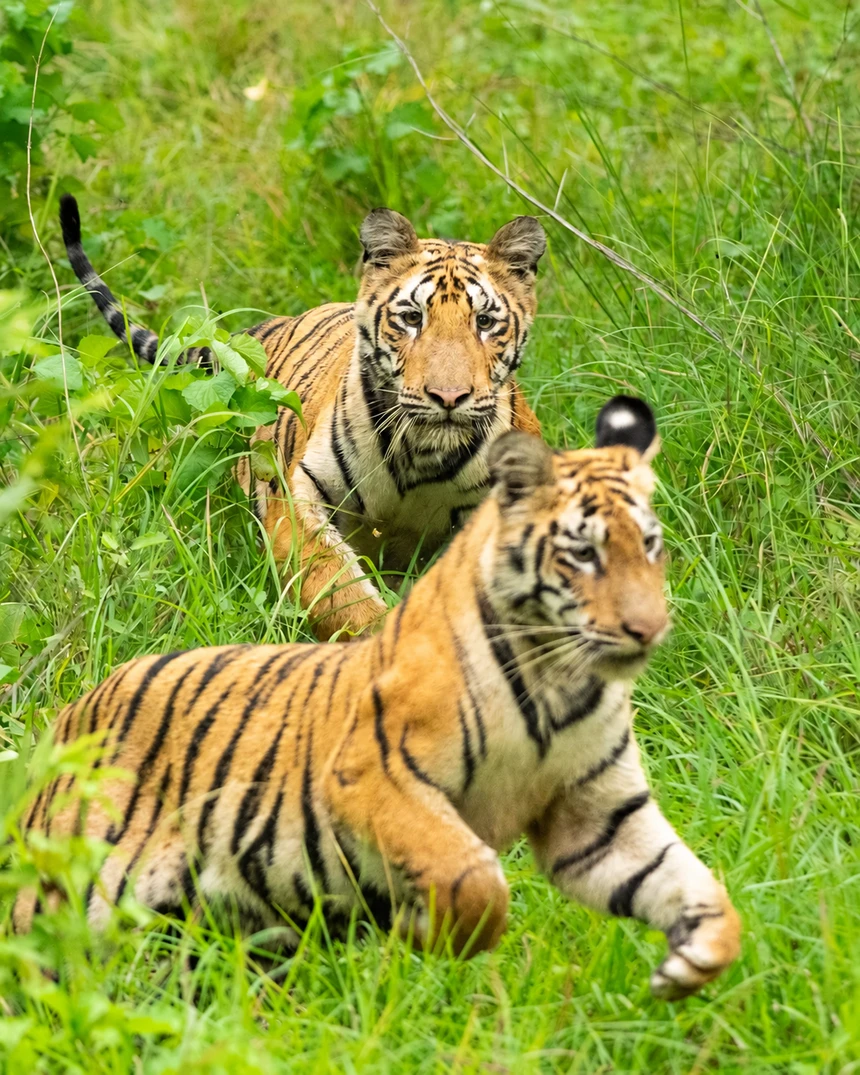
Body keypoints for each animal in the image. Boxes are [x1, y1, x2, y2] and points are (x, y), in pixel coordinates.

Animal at [15, 395, 741, 998]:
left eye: (650, 546)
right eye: (584, 554)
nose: (649, 627)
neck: (561, 681)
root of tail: (71, 715)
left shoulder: (595, 812)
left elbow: (692, 885)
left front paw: (693, 963)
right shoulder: (377, 778)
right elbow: (478, 883)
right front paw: (421, 930)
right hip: (62, 898)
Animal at [59, 195, 546, 639]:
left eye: (485, 322)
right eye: (411, 318)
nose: (448, 396)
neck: (423, 453)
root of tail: (258, 331)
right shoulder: (298, 497)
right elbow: (337, 588)